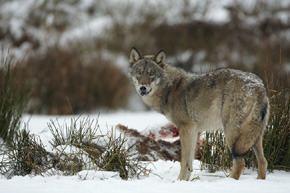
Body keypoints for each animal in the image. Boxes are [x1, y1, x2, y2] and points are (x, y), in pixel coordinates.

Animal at [128, 47, 268, 180]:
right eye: (139, 73)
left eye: (151, 74)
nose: (142, 87)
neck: (169, 89)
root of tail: (258, 85)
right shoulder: (194, 130)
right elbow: (189, 162)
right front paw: (184, 181)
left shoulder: (186, 127)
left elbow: (184, 161)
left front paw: (178, 181)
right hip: (253, 135)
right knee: (263, 161)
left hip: (231, 134)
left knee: (240, 163)